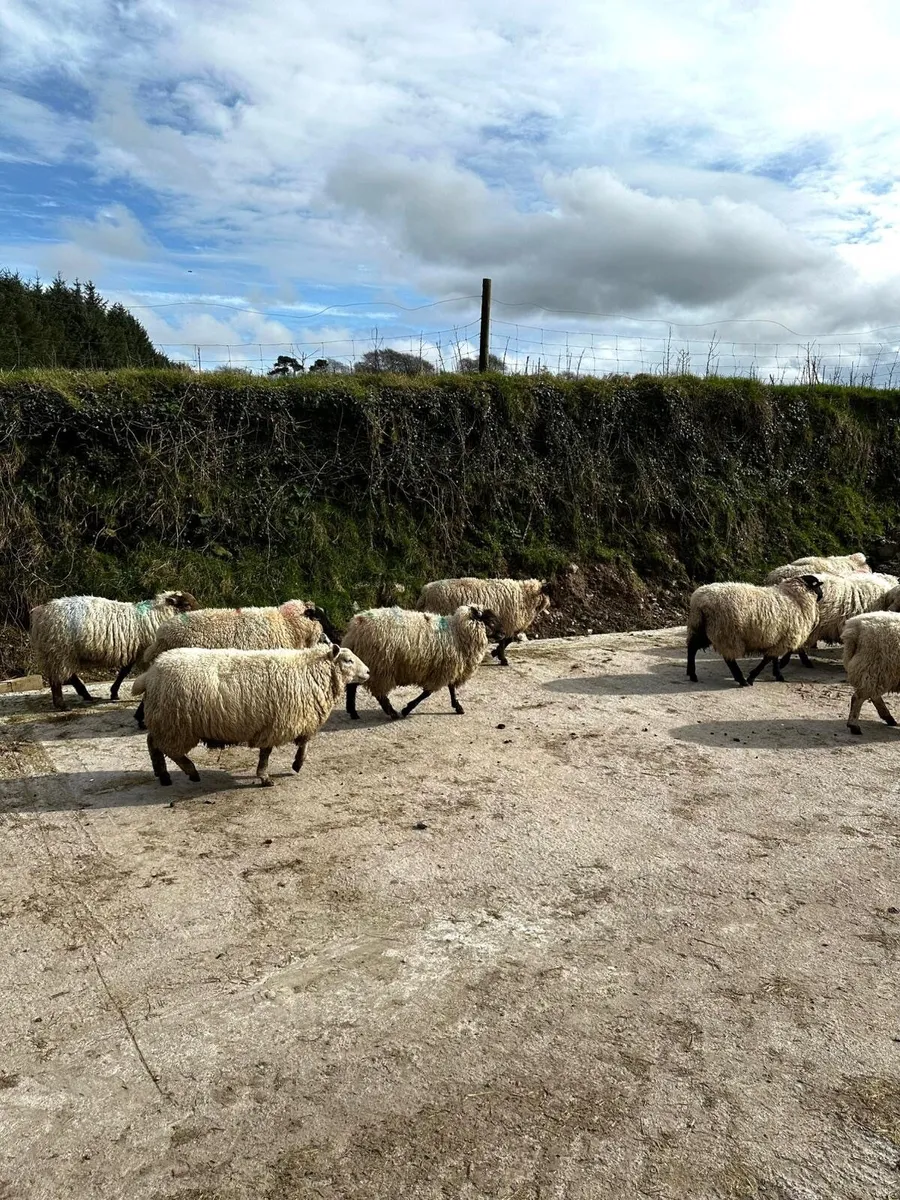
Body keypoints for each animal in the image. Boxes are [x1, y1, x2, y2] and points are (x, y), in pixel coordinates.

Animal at [29, 590, 199, 710]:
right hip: (59, 651)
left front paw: (114, 693)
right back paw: (62, 705)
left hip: (55, 652)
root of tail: (39, 612)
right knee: (58, 678)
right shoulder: (145, 652)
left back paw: (85, 695)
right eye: (187, 605)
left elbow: (124, 671)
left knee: (64, 676)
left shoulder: (136, 651)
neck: (157, 614)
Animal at [131, 643, 369, 788]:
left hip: (165, 721)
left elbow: (304, 743)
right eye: (348, 660)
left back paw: (163, 775)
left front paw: (297, 764)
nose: (368, 672)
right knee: (168, 750)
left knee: (152, 743)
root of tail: (151, 673)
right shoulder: (277, 723)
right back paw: (190, 772)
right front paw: (265, 777)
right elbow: (267, 752)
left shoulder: (293, 720)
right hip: (175, 724)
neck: (309, 672)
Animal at [341, 604, 503, 719]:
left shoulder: (449, 667)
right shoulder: (443, 670)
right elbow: (427, 693)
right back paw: (391, 712)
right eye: (491, 622)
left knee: (352, 686)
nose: (503, 634)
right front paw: (407, 709)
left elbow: (451, 688)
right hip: (380, 665)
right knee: (378, 694)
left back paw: (353, 712)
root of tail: (355, 628)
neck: (457, 634)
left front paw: (457, 706)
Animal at [417, 575, 561, 666]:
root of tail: (425, 592)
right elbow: (506, 641)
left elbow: (506, 641)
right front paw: (502, 658)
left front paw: (495, 653)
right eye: (550, 592)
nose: (556, 605)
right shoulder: (508, 622)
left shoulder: (506, 625)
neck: (525, 597)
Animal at [686, 574, 823, 687]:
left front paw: (777, 674)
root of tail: (700, 601)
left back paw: (692, 674)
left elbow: (773, 659)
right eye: (817, 585)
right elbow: (767, 659)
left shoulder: (778, 638)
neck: (795, 599)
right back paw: (741, 679)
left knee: (692, 648)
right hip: (727, 633)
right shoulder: (785, 639)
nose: (822, 595)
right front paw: (752, 677)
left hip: (701, 628)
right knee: (729, 659)